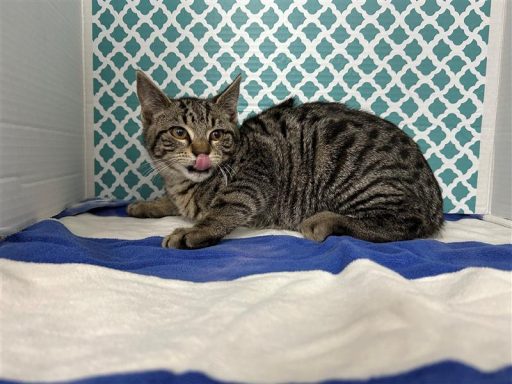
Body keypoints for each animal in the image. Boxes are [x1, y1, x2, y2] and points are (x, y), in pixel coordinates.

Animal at [128, 71, 444, 249]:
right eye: (179, 132)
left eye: (216, 134)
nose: (202, 151)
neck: (186, 184)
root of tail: (436, 203)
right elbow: (171, 201)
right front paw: (148, 204)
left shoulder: (254, 177)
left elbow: (223, 209)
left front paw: (194, 231)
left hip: (362, 181)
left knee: (403, 224)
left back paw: (324, 221)